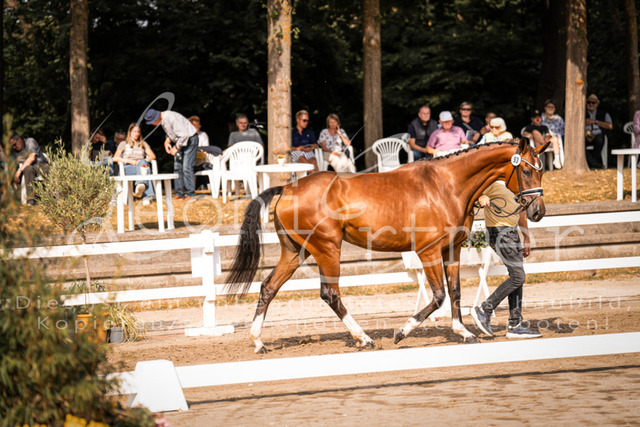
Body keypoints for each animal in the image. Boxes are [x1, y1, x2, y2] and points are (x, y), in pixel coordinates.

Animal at [226, 138, 549, 353]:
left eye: (541, 170)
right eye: (527, 171)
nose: (537, 212)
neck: (446, 185)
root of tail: (288, 188)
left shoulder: (451, 250)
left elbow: (455, 292)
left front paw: (464, 332)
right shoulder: (428, 251)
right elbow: (438, 296)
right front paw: (401, 332)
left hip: (296, 252)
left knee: (268, 287)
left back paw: (258, 342)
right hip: (328, 249)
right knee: (330, 294)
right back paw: (364, 339)